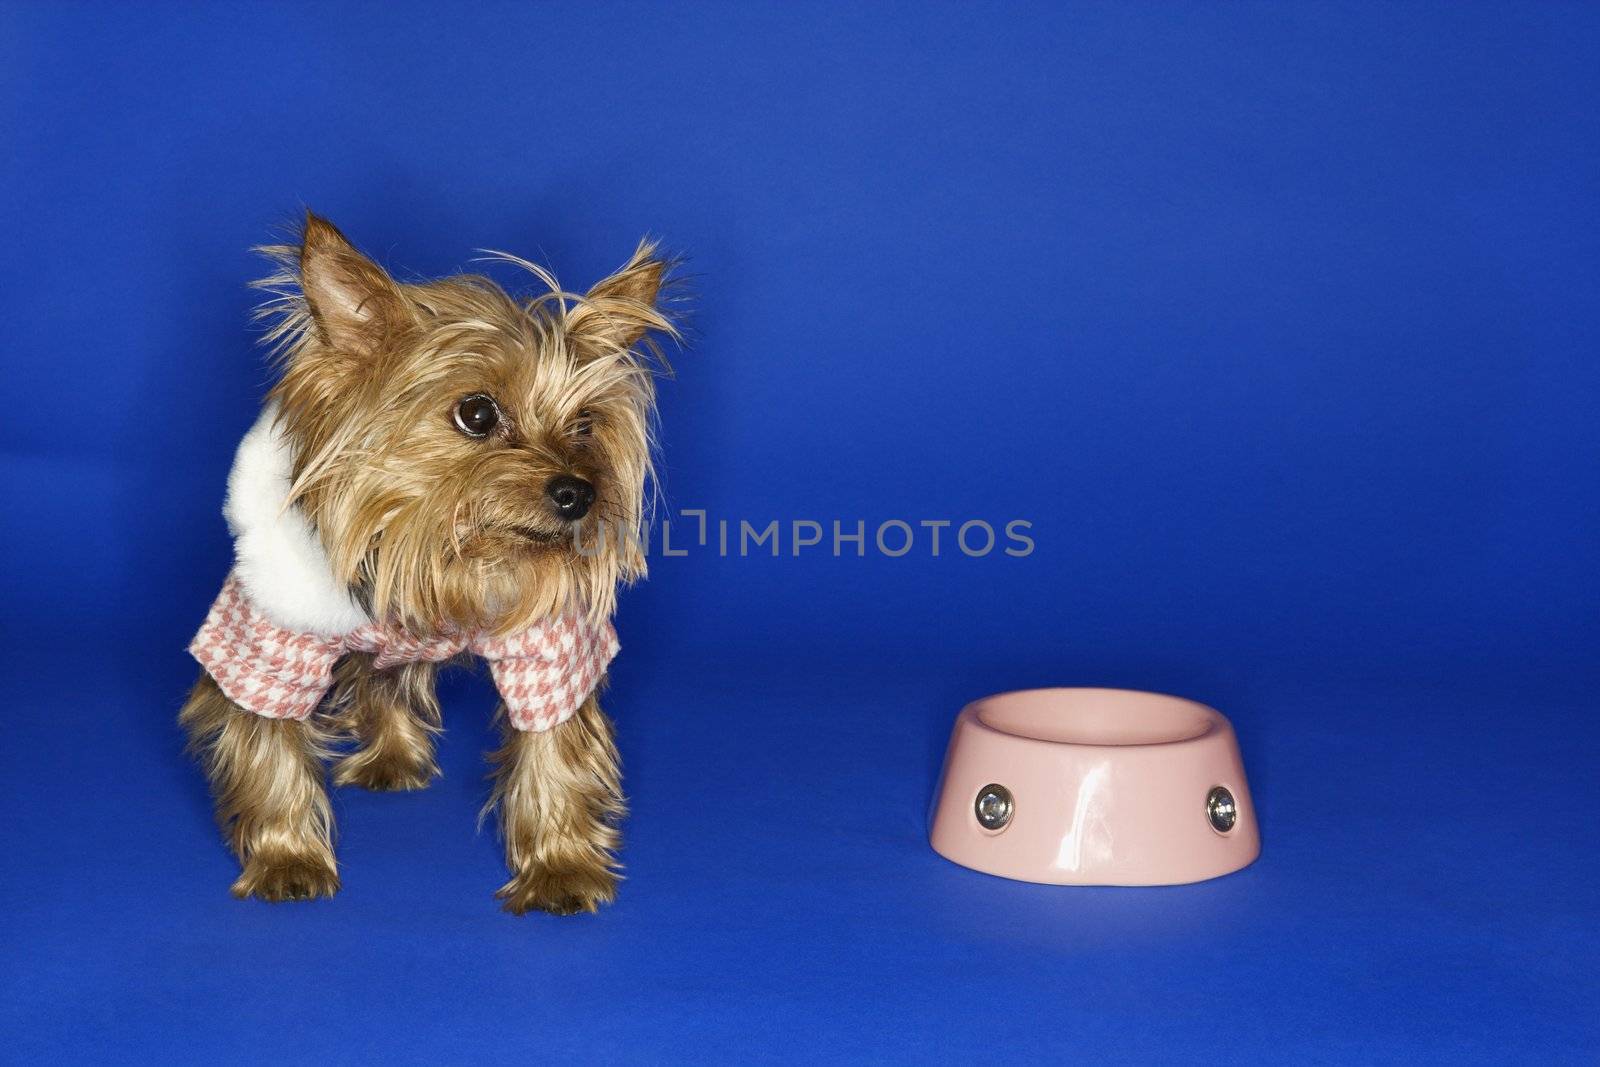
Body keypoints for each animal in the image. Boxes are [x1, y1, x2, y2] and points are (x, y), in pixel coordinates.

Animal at [178, 212, 672, 915]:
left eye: (585, 423)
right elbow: (265, 734)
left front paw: (560, 866)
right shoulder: (275, 631)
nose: (579, 493)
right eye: (477, 412)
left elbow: (554, 741)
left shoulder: (548, 638)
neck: (441, 547)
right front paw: (286, 857)